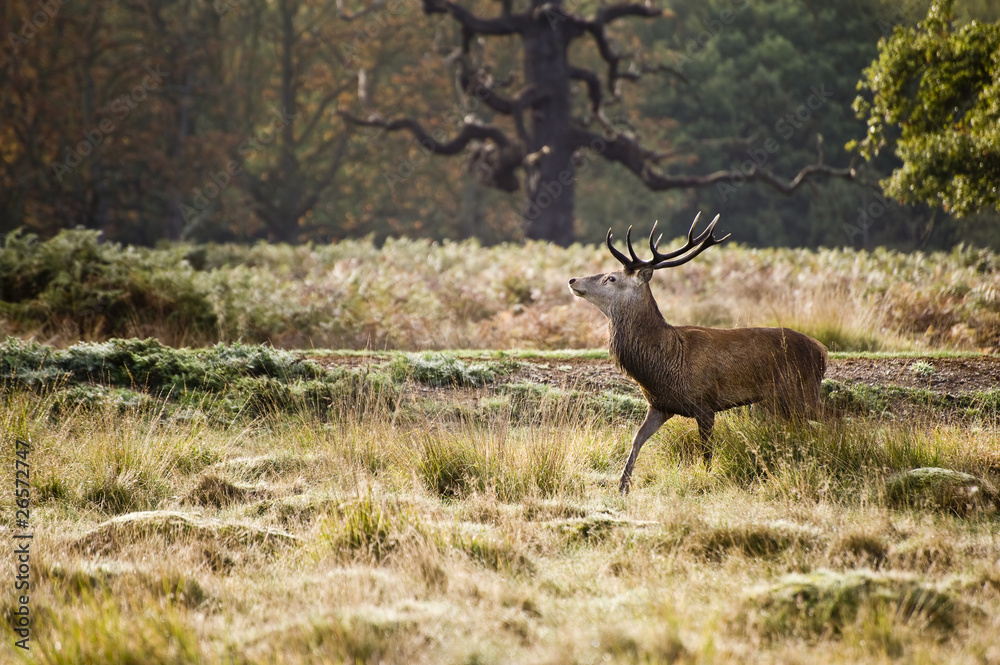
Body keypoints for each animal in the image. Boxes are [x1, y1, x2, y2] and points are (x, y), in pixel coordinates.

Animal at [568, 213, 829, 494]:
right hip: (783, 402)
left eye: (611, 278)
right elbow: (637, 439)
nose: (573, 280)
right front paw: (622, 485)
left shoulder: (705, 403)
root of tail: (822, 350)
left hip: (802, 390)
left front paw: (705, 481)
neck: (667, 360)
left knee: (828, 424)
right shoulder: (659, 404)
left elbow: (706, 452)